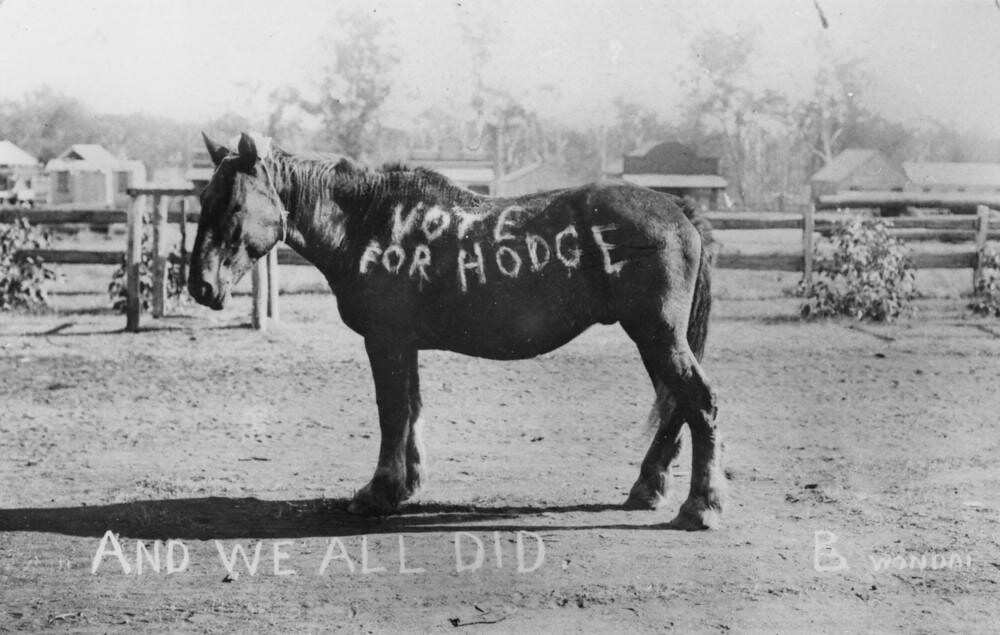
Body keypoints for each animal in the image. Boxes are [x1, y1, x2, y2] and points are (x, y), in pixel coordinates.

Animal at [188, 133, 724, 532]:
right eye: (203, 199)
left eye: (234, 205)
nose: (200, 285)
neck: (368, 219)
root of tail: (677, 207)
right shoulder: (404, 343)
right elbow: (411, 411)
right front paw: (406, 485)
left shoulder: (385, 340)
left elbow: (392, 413)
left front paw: (377, 492)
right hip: (655, 340)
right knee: (676, 406)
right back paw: (649, 488)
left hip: (656, 335)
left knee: (698, 402)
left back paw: (701, 506)